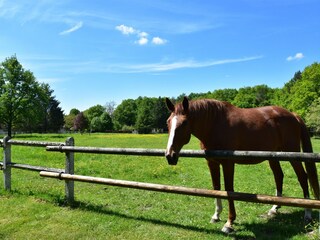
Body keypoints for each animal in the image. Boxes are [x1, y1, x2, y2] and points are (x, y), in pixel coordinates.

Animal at [166, 96, 318, 233]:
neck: (215, 124)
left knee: (302, 177)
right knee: (279, 176)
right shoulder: (212, 162)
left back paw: (308, 213)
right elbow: (216, 188)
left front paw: (229, 223)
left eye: (184, 123)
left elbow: (229, 190)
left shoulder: (228, 163)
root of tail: (293, 115)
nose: (169, 156)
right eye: (168, 123)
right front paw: (216, 215)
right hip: (273, 155)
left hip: (293, 154)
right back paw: (274, 208)